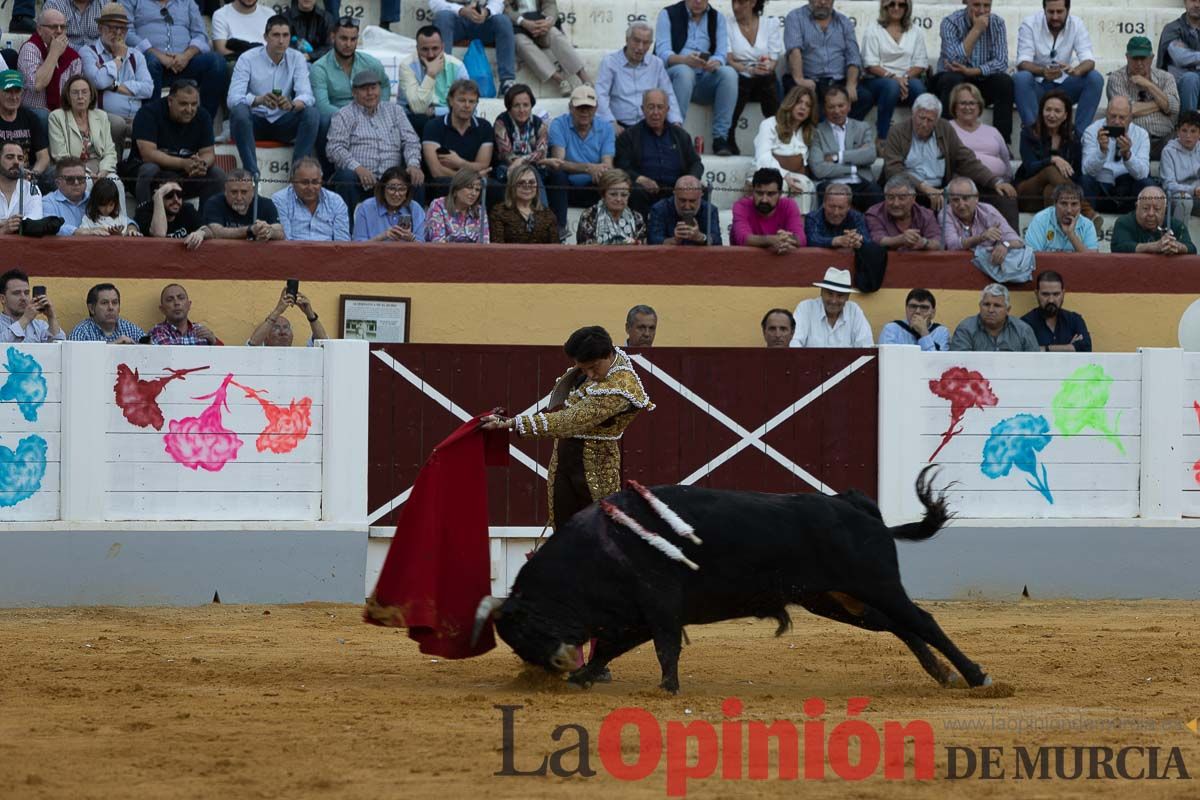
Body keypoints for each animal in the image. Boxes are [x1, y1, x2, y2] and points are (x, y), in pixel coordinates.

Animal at [472, 465, 988, 690]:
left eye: (524, 629)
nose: (552, 667)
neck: (600, 550)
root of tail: (854, 504)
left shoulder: (659, 607)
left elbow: (665, 648)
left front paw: (667, 690)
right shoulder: (636, 615)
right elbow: (614, 648)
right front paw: (585, 677)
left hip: (874, 585)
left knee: (922, 620)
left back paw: (975, 675)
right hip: (836, 599)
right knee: (900, 626)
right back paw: (942, 674)